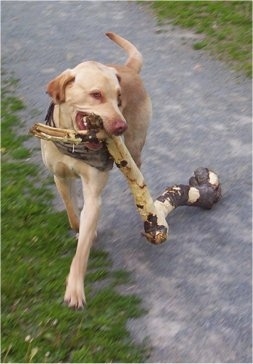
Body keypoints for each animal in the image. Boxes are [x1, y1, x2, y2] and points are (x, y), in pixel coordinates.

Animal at [40, 32, 151, 308]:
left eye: (119, 98)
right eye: (96, 94)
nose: (120, 126)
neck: (74, 142)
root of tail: (128, 68)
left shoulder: (93, 193)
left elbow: (81, 253)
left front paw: (75, 288)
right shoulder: (60, 177)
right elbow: (72, 213)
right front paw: (81, 228)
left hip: (134, 150)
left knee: (137, 177)